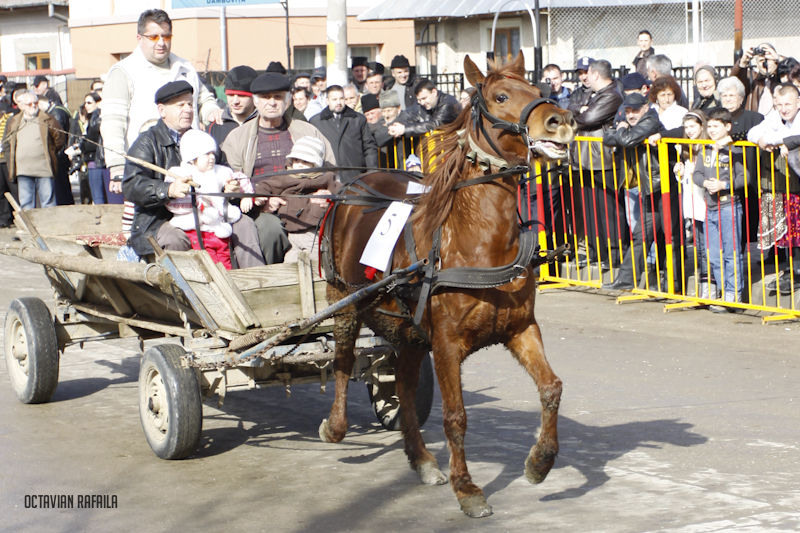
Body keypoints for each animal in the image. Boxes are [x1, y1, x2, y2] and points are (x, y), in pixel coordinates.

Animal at [318, 52, 576, 518]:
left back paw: (421, 460)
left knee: (403, 385)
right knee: (344, 362)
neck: (475, 242)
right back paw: (336, 426)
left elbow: (551, 388)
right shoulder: (446, 343)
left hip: (407, 331)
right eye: (501, 96)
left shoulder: (520, 328)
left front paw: (540, 461)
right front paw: (467, 488)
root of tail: (355, 183)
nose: (560, 120)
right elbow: (456, 416)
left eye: (536, 86)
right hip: (343, 300)